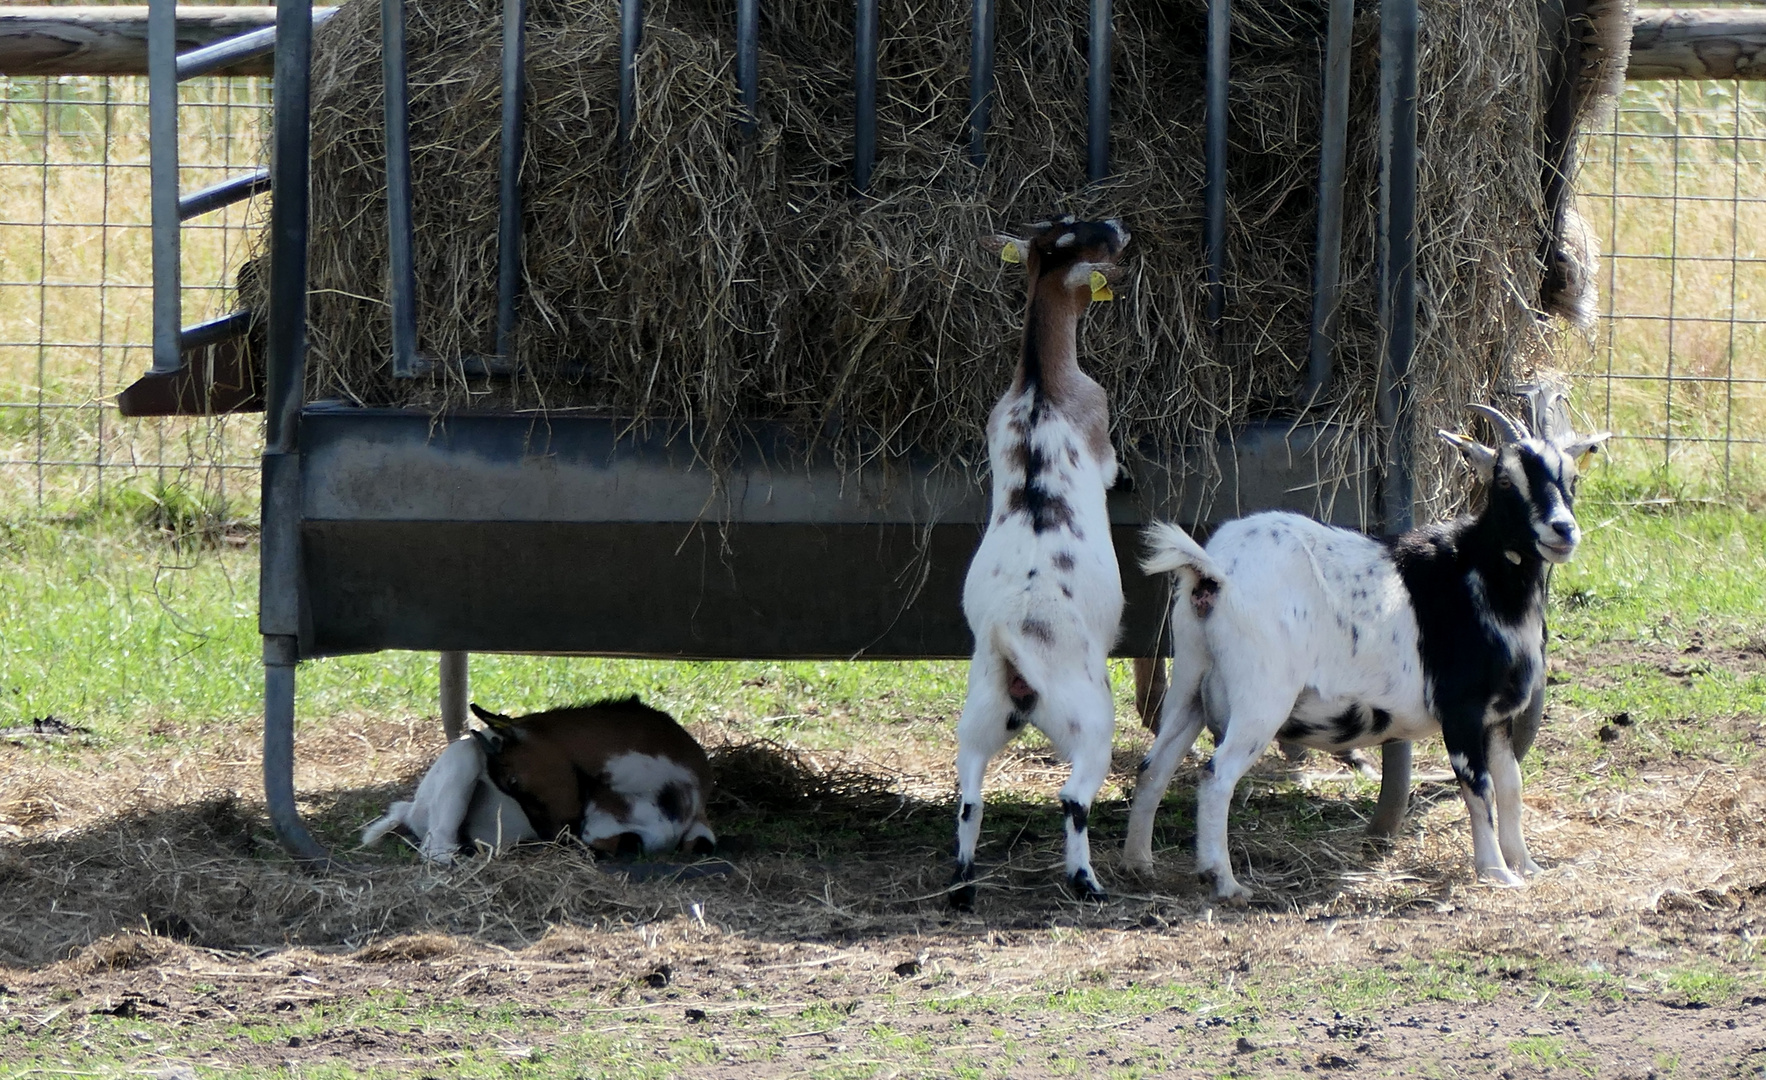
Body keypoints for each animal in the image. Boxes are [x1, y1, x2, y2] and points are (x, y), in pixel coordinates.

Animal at [358, 695, 716, 864]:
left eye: (514, 781)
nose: (555, 839)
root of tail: (410, 809)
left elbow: (700, 843)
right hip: (463, 759)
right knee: (435, 848)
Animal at [953, 215, 1130, 903]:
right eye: (1095, 240)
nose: (1121, 228)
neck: (1038, 384)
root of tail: (1015, 641)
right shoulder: (1098, 422)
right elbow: (1112, 466)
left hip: (979, 715)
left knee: (969, 797)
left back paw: (962, 886)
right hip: (1091, 720)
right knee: (1072, 797)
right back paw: (1087, 883)